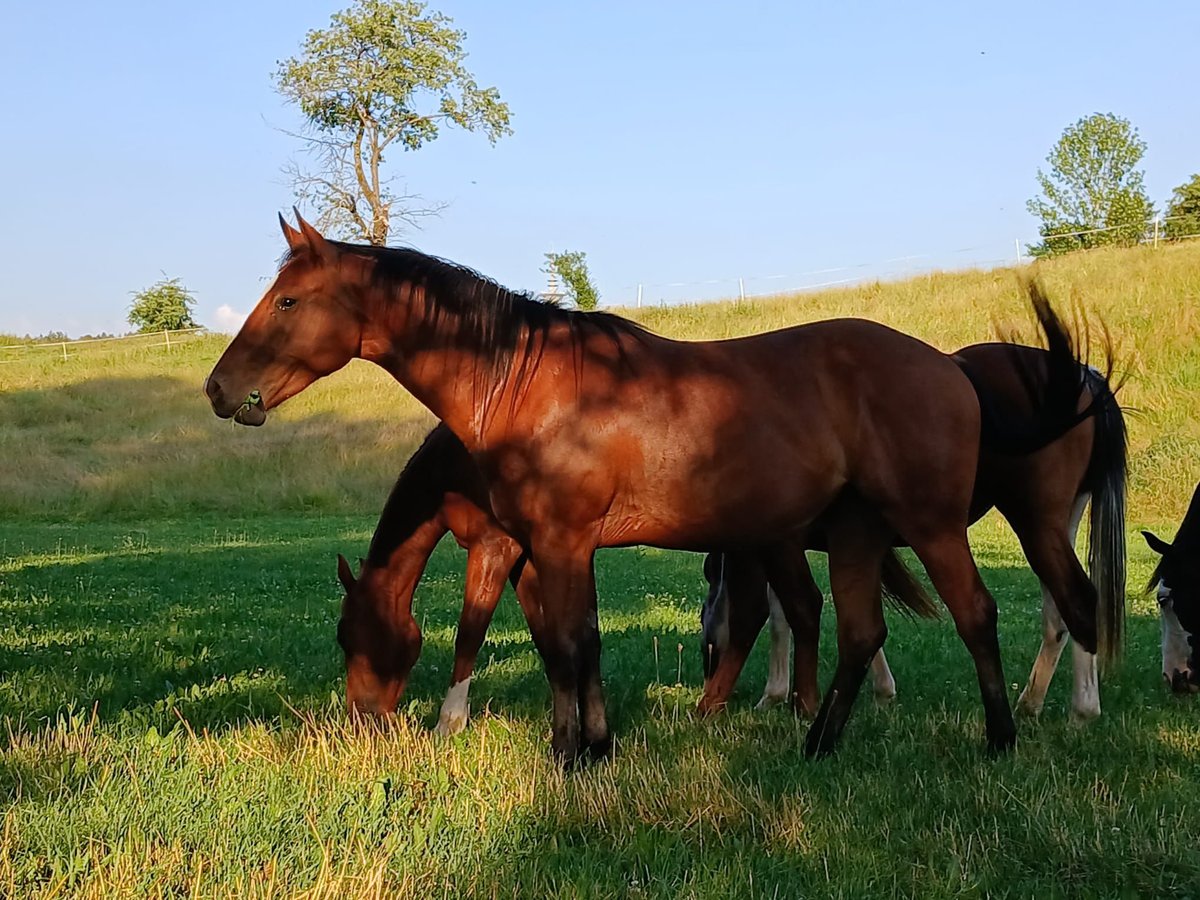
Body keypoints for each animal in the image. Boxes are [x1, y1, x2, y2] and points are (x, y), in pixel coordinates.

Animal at [333, 423, 544, 733]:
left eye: (346, 635)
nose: (362, 718)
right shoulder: (522, 553)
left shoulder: (494, 545)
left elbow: (469, 633)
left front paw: (450, 722)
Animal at [698, 341, 1127, 721]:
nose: (707, 668)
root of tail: (1085, 376)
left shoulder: (787, 544)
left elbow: (784, 613)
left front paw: (777, 695)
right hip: (1056, 524)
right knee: (1058, 615)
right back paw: (1033, 704)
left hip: (1035, 520)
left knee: (1076, 600)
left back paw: (1081, 712)